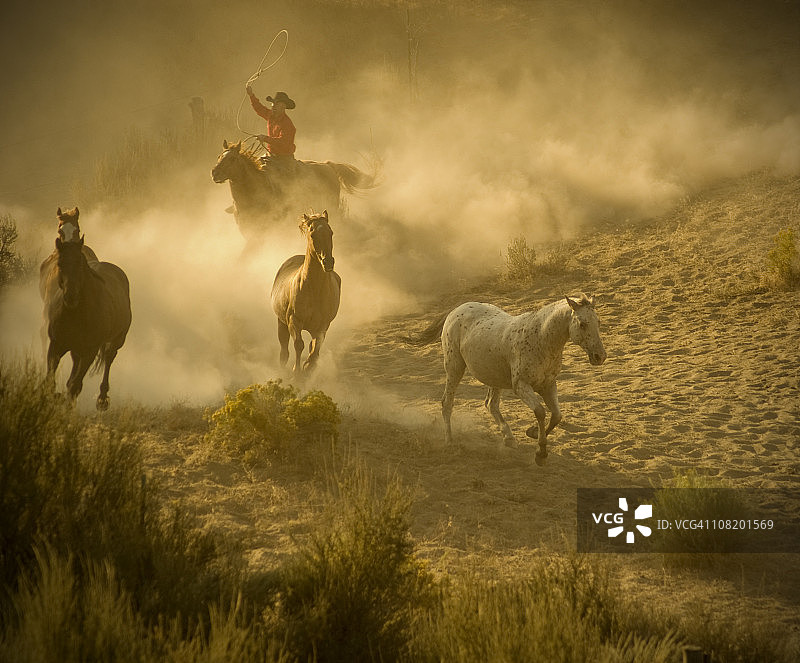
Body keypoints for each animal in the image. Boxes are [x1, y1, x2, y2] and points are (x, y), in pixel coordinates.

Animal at [40, 235, 132, 410]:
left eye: (80, 264)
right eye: (60, 263)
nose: (71, 297)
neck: (77, 314)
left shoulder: (90, 351)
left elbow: (75, 386)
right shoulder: (56, 345)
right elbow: (50, 380)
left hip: (117, 341)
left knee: (108, 358)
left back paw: (102, 399)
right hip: (76, 349)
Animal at [270, 211, 341, 374]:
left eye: (331, 232)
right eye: (313, 234)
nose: (328, 262)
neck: (314, 290)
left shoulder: (322, 326)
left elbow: (315, 349)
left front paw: (308, 367)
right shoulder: (293, 321)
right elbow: (298, 345)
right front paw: (297, 372)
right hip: (281, 323)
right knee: (284, 350)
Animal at [408, 295, 607, 465]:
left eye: (598, 322)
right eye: (582, 324)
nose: (600, 356)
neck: (541, 339)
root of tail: (456, 310)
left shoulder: (549, 385)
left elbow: (557, 415)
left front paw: (532, 433)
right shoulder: (521, 386)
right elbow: (541, 412)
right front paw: (540, 453)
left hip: (493, 377)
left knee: (491, 404)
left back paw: (509, 438)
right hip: (454, 367)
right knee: (447, 403)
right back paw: (449, 441)